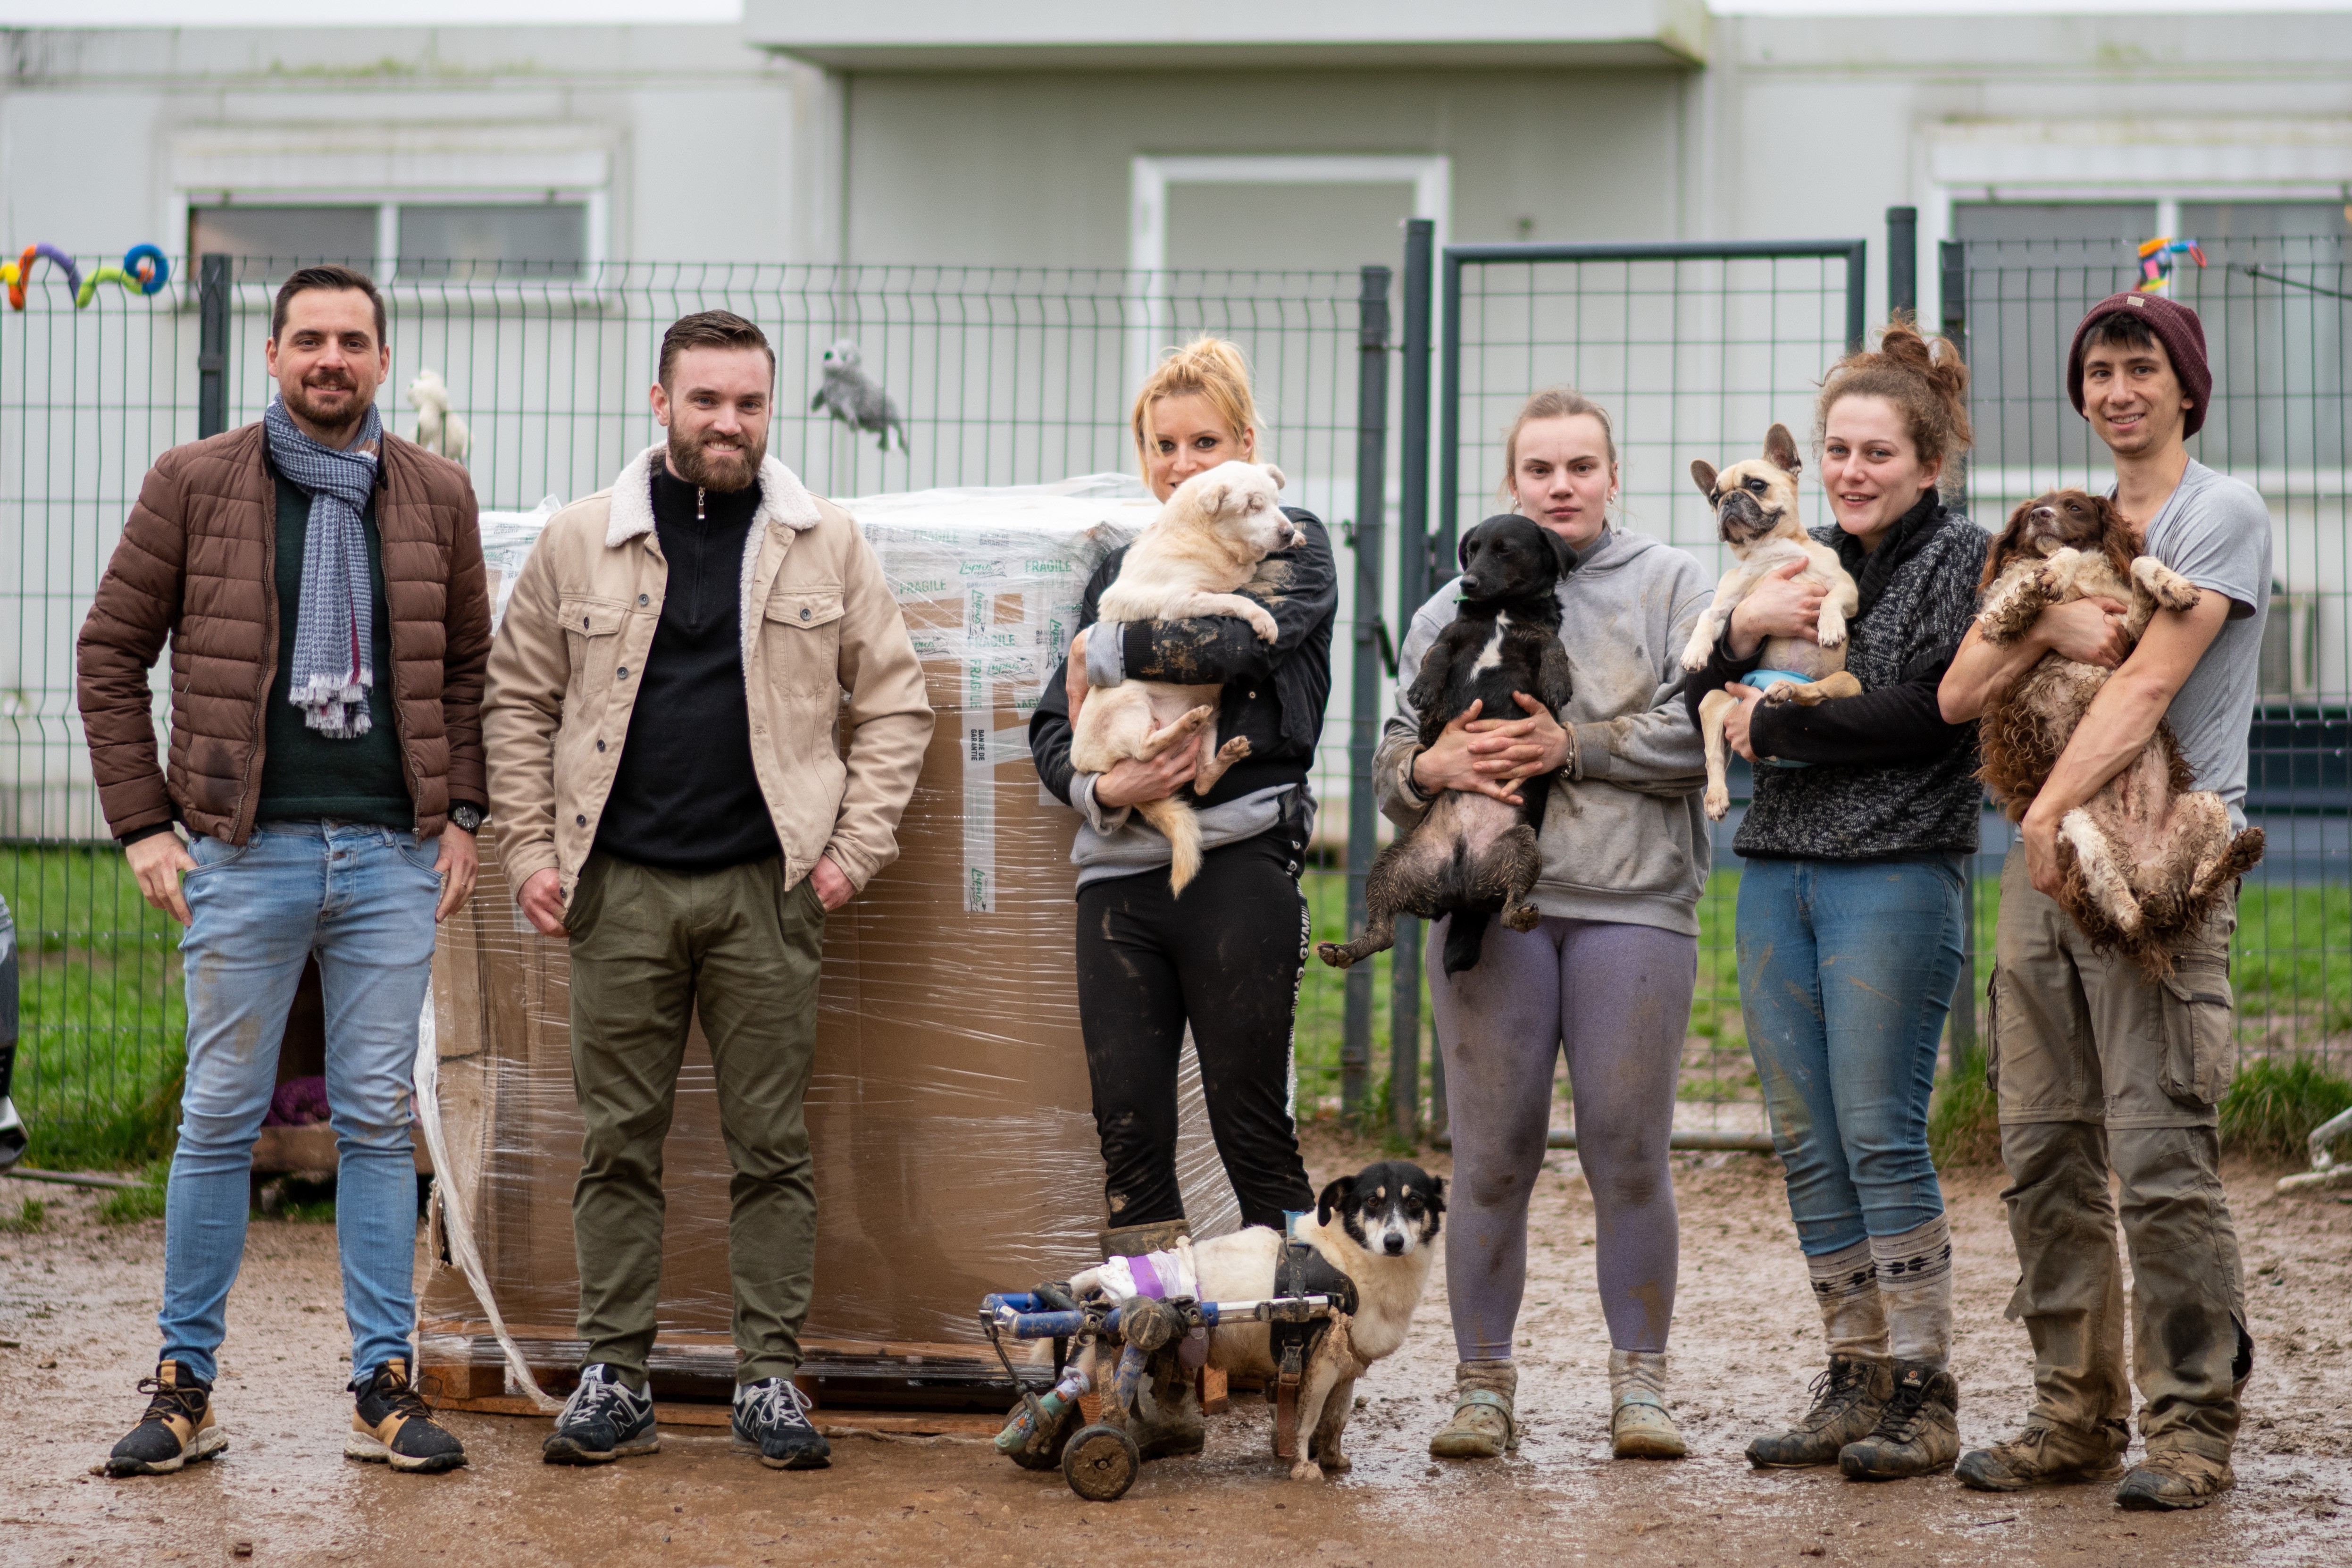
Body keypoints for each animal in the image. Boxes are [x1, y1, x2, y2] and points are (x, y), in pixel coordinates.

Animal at [1077, 461, 1298, 889]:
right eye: (1252, 505)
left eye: (1278, 502)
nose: (1287, 532)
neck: (1205, 538)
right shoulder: (1184, 600)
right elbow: (1233, 598)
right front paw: (1263, 619)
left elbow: (1239, 585)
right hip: (1129, 702)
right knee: (1145, 749)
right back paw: (1179, 728)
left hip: (1212, 716)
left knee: (1200, 779)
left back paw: (1224, 753)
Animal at [1317, 515, 1571, 973]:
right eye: (1471, 549)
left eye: (1504, 549)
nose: (1467, 582)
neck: (1499, 612)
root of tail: (1459, 891)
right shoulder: (1455, 635)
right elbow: (1435, 652)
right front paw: (1421, 687)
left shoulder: (1534, 638)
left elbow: (1552, 642)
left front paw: (1559, 678)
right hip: (1388, 864)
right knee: (1382, 933)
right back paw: (1344, 950)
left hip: (1523, 848)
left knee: (1509, 910)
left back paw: (1521, 913)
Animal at [1985, 491, 2258, 982]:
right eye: (2032, 509)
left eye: (2073, 506)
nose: (2041, 516)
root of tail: (2148, 875)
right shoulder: (1997, 621)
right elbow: (2051, 566)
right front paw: (2049, 574)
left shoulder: (2126, 637)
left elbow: (2137, 563)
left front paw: (2175, 587)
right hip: (2074, 826)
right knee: (2128, 918)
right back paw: (2139, 908)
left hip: (2205, 804)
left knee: (2196, 886)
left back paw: (2241, 853)